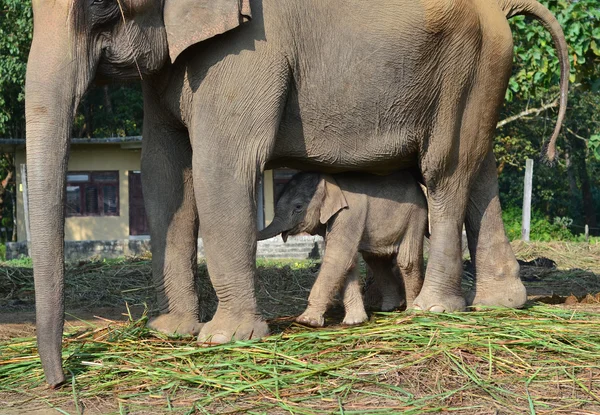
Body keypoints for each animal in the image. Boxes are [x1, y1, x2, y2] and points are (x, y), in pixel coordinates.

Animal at [256, 171, 426, 326]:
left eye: (298, 207)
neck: (329, 182)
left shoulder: (348, 214)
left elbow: (339, 259)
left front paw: (307, 321)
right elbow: (347, 263)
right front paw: (354, 321)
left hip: (415, 214)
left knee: (406, 260)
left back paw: (412, 311)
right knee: (376, 260)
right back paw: (390, 308)